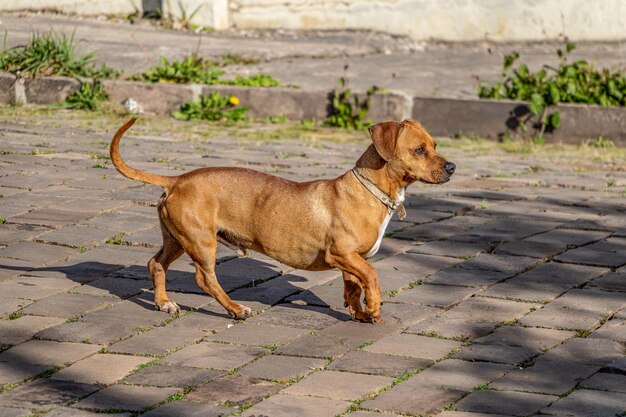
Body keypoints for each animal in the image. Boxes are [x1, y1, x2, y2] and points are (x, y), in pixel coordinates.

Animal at [109, 118, 454, 322]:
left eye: (435, 145)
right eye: (419, 150)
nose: (452, 167)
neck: (371, 189)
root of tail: (177, 180)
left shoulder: (352, 259)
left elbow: (354, 285)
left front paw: (360, 311)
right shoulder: (341, 254)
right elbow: (371, 276)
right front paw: (374, 307)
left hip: (177, 240)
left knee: (156, 265)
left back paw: (164, 302)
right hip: (201, 243)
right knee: (205, 279)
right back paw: (235, 309)